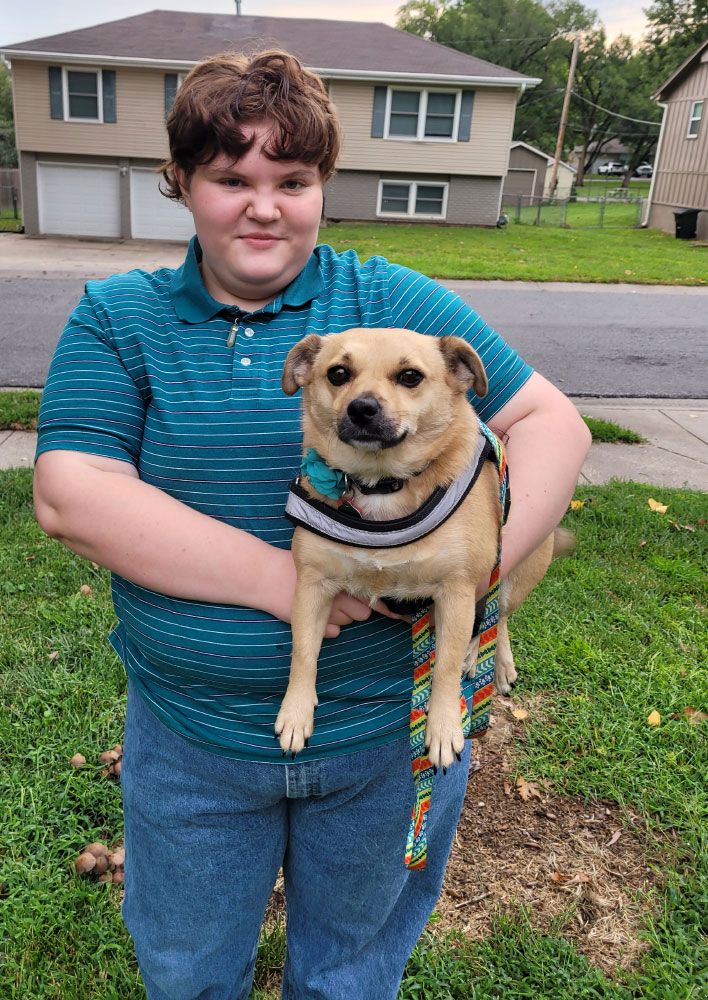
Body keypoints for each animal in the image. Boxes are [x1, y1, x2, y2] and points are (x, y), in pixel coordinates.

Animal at [276, 328, 573, 769]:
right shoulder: (312, 586)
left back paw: (492, 662)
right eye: (338, 373)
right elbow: (303, 652)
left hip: (509, 575)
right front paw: (295, 712)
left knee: (497, 619)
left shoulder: (456, 593)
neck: (381, 484)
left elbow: (446, 666)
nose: (362, 408)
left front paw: (443, 726)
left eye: (410, 376)